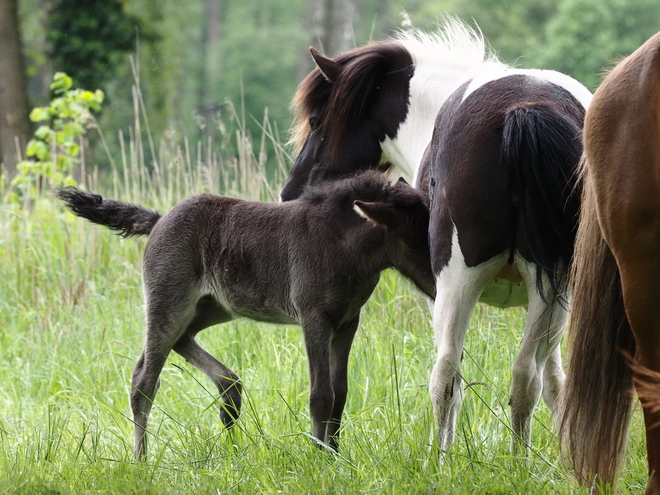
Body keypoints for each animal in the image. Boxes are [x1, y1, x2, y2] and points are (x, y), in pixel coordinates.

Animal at [280, 19, 592, 458]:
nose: (289, 193)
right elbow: (556, 385)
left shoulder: (434, 287)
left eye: (318, 120)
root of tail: (522, 110)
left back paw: (441, 461)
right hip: (552, 289)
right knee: (525, 377)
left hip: (458, 283)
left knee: (446, 373)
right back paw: (520, 462)